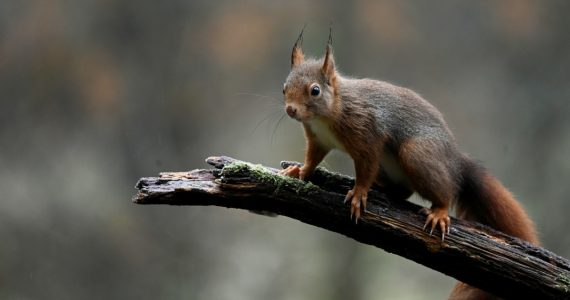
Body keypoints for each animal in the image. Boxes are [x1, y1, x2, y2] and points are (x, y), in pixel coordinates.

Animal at [280, 29, 536, 300]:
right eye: (284, 87)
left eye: (315, 90)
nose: (290, 110)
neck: (329, 113)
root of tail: (455, 161)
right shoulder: (318, 139)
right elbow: (313, 159)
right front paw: (299, 170)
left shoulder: (368, 134)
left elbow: (365, 167)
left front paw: (359, 193)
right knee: (403, 190)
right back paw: (383, 188)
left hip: (417, 154)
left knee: (445, 190)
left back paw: (439, 211)